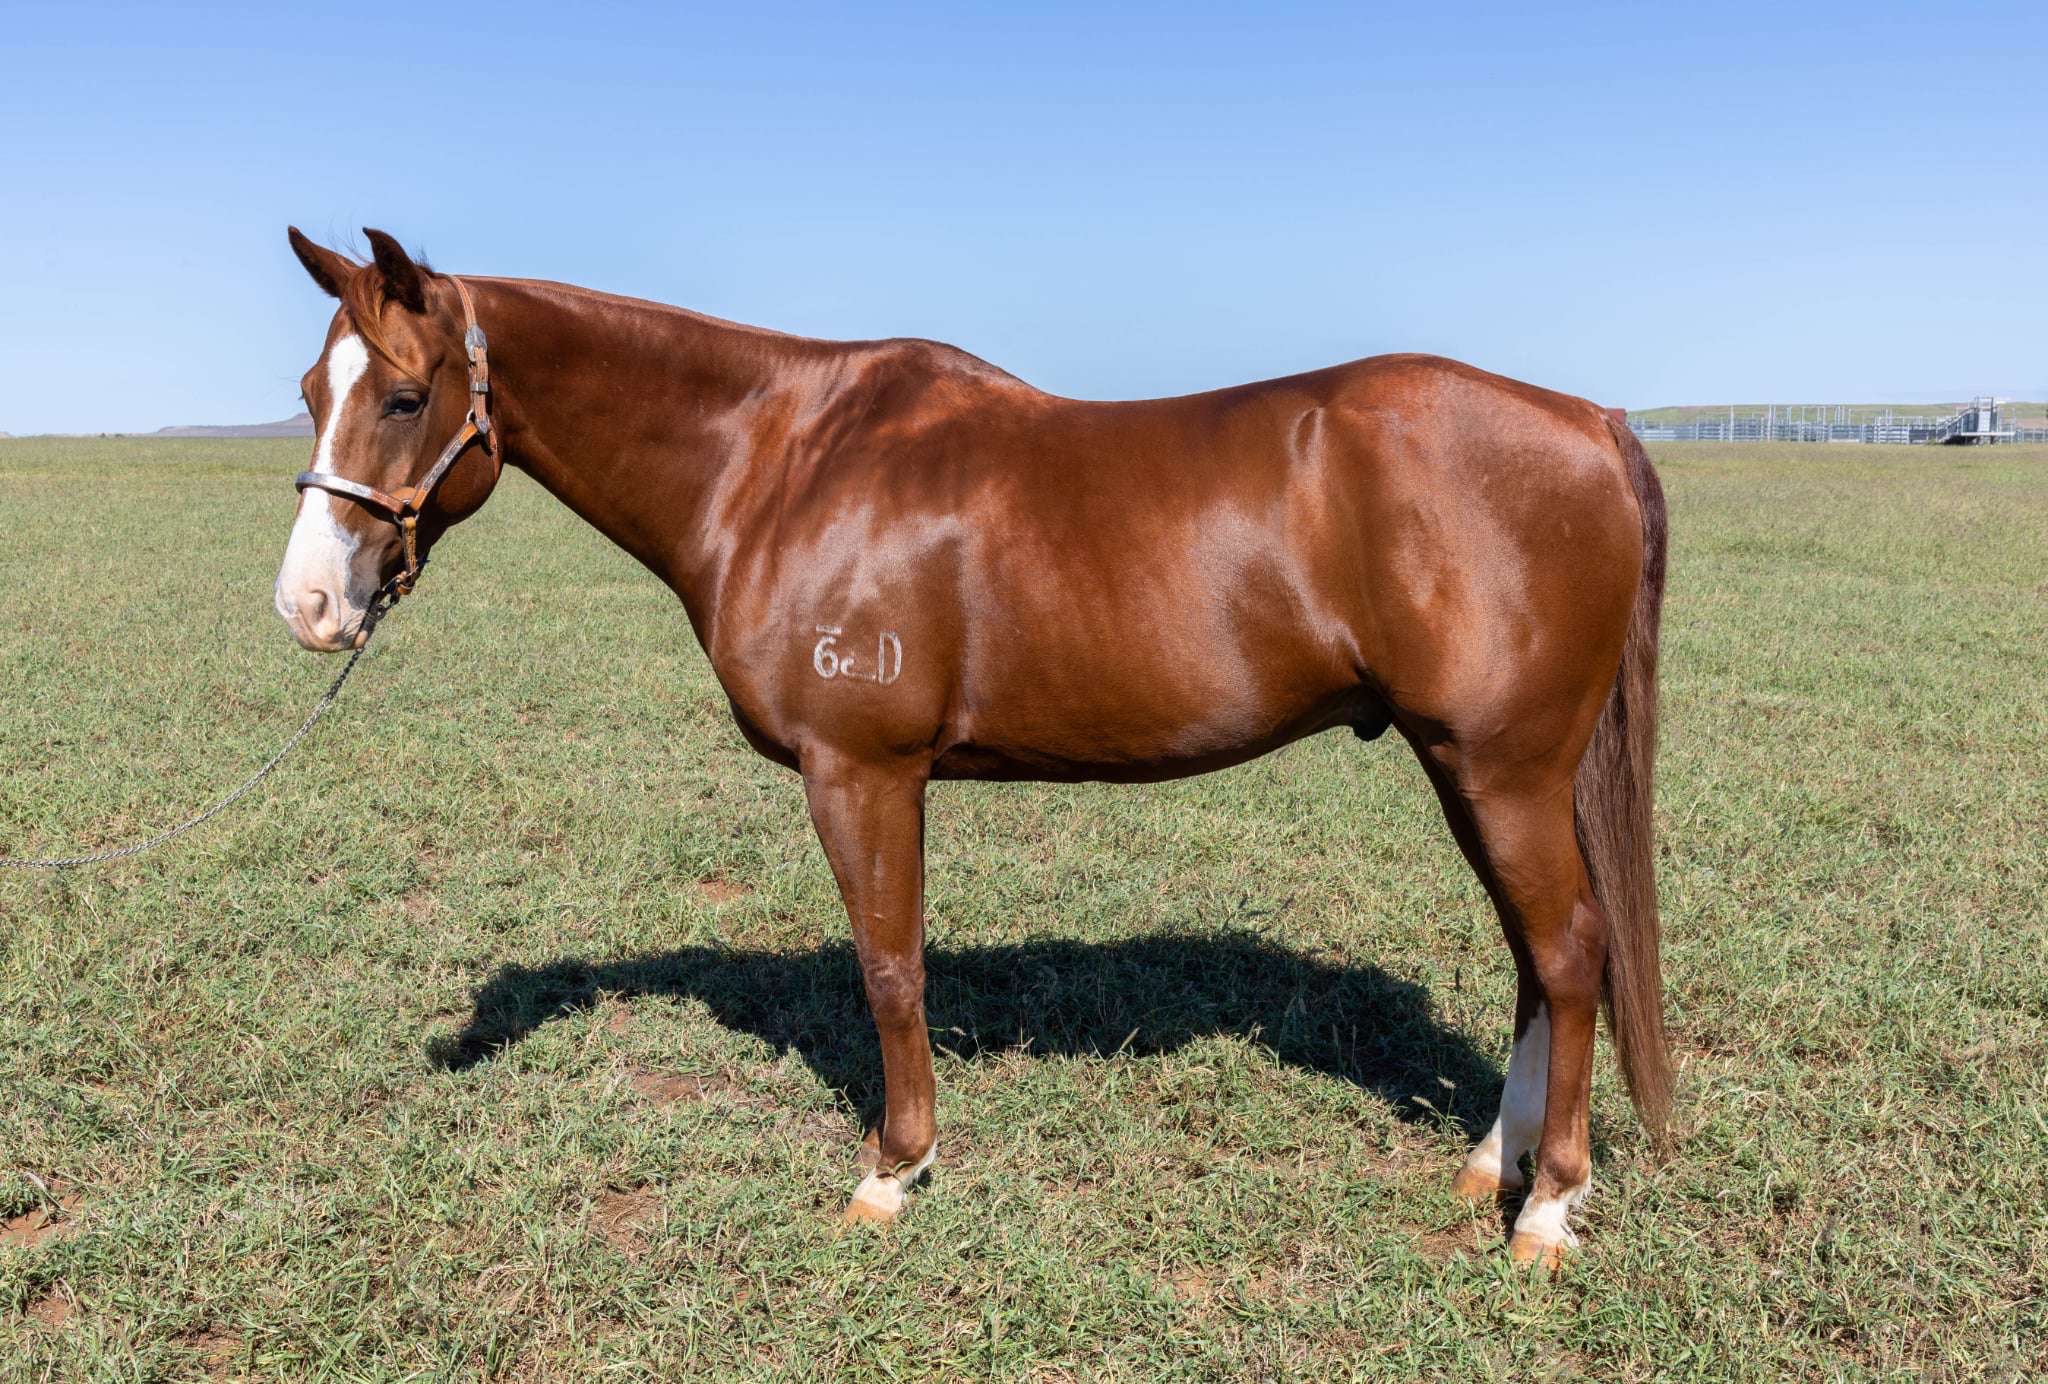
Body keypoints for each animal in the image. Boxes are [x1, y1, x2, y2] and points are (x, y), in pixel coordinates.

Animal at [275, 227, 1669, 1266]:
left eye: (404, 395)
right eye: (307, 394)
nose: (309, 606)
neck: (778, 463)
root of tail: (1588, 420)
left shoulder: (862, 773)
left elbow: (891, 968)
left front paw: (893, 1172)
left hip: (1501, 769)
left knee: (1568, 951)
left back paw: (1546, 1208)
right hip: (1469, 769)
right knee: (1537, 959)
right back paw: (1490, 1164)